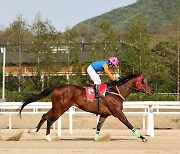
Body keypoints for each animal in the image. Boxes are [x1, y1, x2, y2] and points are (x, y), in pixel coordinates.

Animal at [19, 74, 153, 142]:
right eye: (144, 81)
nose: (152, 90)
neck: (115, 93)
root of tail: (57, 87)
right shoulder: (118, 112)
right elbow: (129, 124)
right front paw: (142, 138)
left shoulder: (104, 114)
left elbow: (99, 126)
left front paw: (95, 138)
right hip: (61, 108)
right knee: (50, 119)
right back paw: (48, 137)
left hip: (57, 107)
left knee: (45, 116)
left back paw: (33, 131)